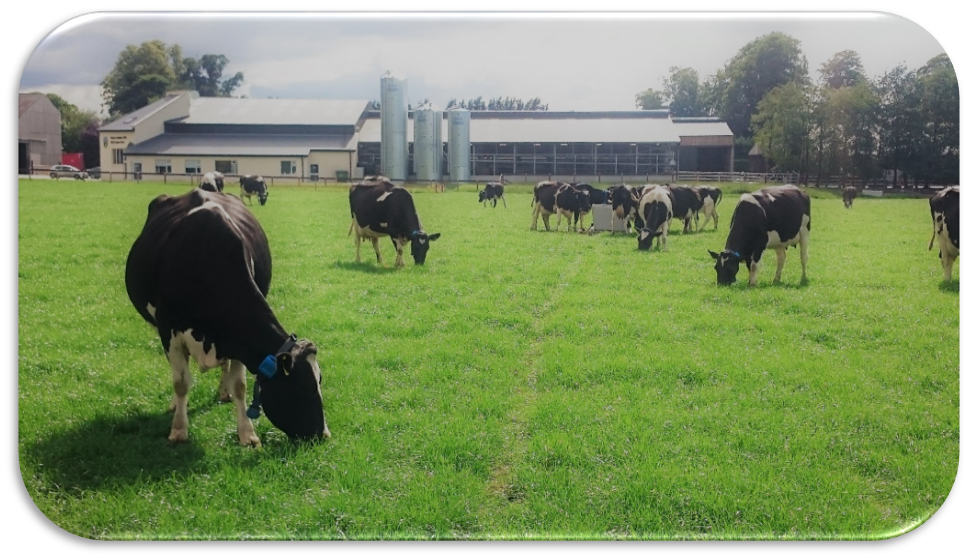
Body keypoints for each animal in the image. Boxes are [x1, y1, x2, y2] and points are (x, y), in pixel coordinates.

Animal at [125, 190, 330, 448]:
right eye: (303, 387)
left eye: (319, 380)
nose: (323, 434)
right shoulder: (168, 329)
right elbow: (181, 382)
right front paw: (179, 429)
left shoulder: (238, 341)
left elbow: (240, 385)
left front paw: (247, 433)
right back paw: (175, 405)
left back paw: (224, 393)